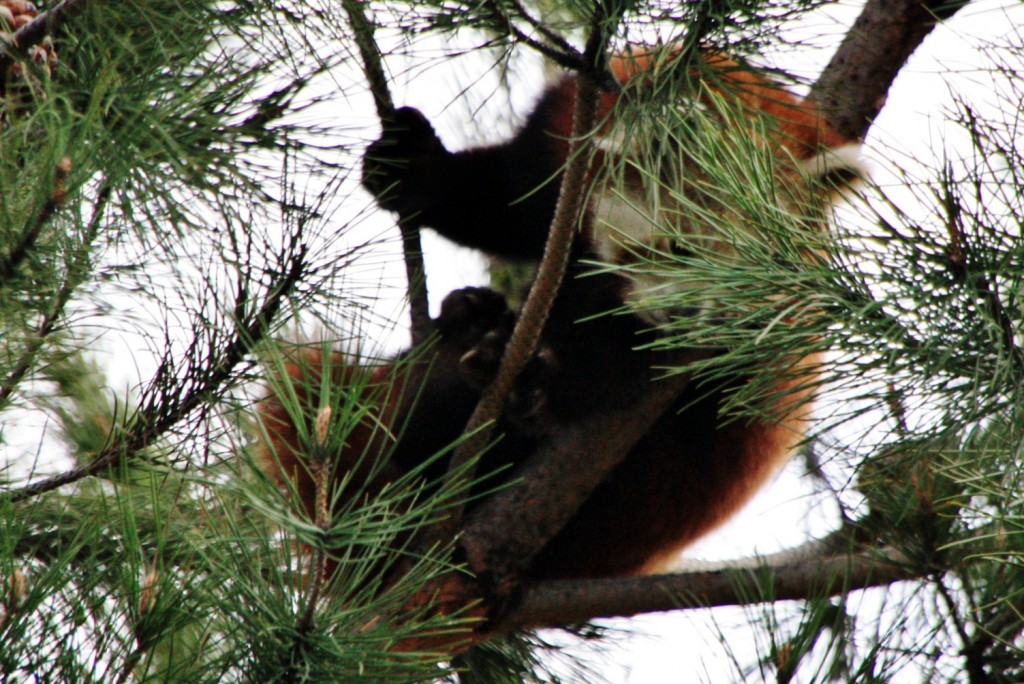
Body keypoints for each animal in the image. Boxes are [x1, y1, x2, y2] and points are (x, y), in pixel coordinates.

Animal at [258, 48, 864, 581]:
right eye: (680, 251)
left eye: (758, 271)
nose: (692, 315)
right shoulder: (559, 129)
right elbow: (504, 201)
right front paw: (419, 168)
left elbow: (615, 366)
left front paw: (532, 371)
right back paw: (465, 327)